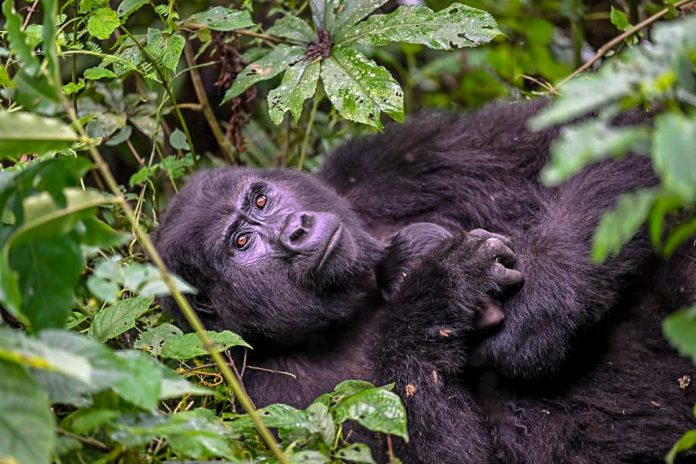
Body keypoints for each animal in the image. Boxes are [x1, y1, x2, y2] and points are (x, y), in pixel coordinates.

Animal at [155, 102, 692, 464]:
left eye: (262, 201)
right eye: (243, 242)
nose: (297, 229)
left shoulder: (379, 167)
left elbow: (589, 130)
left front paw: (541, 311)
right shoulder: (264, 402)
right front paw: (440, 292)